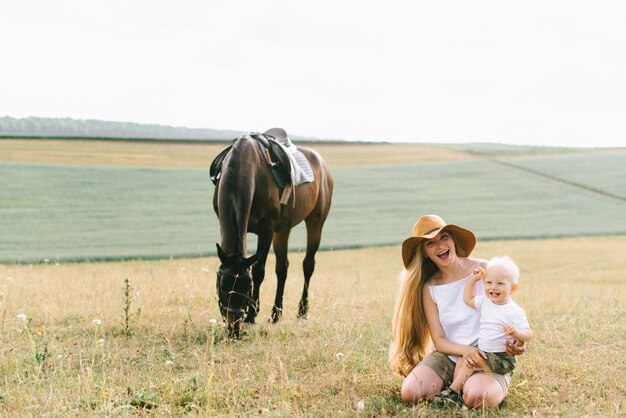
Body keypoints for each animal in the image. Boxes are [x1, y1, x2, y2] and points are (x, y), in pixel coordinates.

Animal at [212, 132, 332, 338]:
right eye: (223, 286)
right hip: (282, 230)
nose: (234, 330)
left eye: (248, 288)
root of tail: (322, 164)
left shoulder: (266, 229)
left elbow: (259, 271)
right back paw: (276, 313)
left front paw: (251, 316)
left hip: (316, 221)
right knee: (282, 268)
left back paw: (301, 312)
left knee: (308, 265)